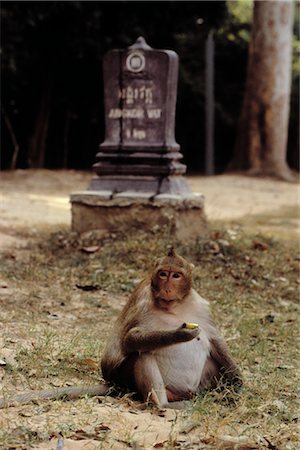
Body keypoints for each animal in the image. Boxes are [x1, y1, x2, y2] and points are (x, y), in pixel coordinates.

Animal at [0, 248, 241, 410]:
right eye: (163, 274)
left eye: (176, 275)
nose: (167, 288)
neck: (175, 306)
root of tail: (117, 385)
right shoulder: (143, 304)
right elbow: (130, 340)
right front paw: (179, 334)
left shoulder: (202, 307)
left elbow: (215, 340)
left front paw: (239, 383)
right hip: (127, 378)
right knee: (143, 355)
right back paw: (163, 405)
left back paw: (220, 395)